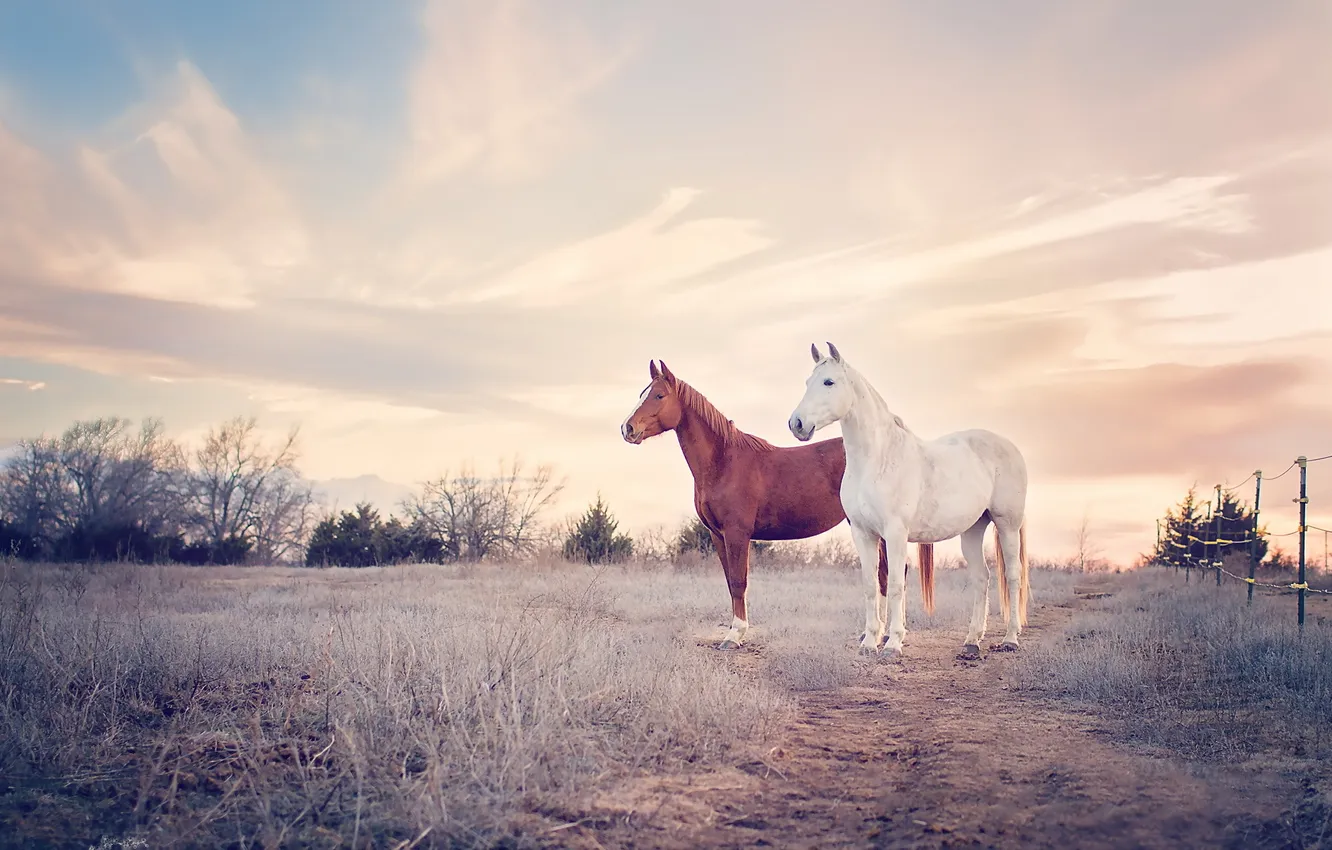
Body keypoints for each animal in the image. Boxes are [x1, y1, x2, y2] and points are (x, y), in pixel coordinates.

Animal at [621, 359, 931, 650]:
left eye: (659, 395)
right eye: (642, 393)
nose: (627, 428)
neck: (724, 461)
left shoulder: (737, 534)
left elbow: (739, 582)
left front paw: (734, 636)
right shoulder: (717, 535)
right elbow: (730, 582)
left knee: (892, 574)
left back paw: (889, 636)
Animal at [787, 343, 1029, 659]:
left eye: (829, 382)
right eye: (807, 382)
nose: (797, 424)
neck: (877, 460)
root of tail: (1009, 446)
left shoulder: (895, 533)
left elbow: (895, 585)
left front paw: (893, 643)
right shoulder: (863, 534)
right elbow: (870, 585)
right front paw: (869, 642)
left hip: (1007, 525)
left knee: (1012, 576)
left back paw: (1011, 639)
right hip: (973, 529)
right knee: (982, 578)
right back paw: (971, 641)